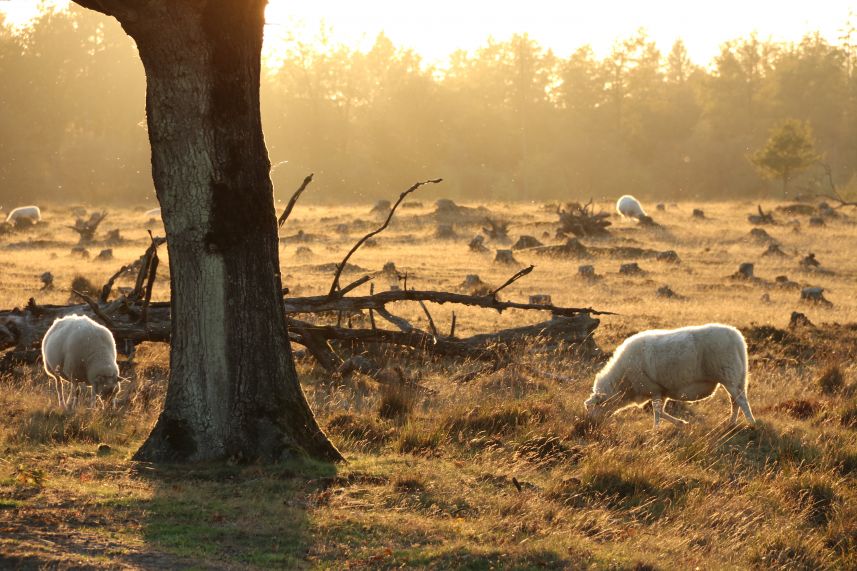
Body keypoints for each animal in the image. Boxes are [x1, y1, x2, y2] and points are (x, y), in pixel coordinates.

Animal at [580, 324, 756, 426]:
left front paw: (655, 430)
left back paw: (751, 423)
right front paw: (680, 423)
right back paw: (731, 423)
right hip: (737, 377)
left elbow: (657, 413)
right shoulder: (661, 391)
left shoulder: (653, 389)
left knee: (741, 401)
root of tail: (737, 337)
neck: (623, 383)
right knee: (735, 401)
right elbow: (661, 412)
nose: (588, 424)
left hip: (728, 375)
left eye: (593, 407)